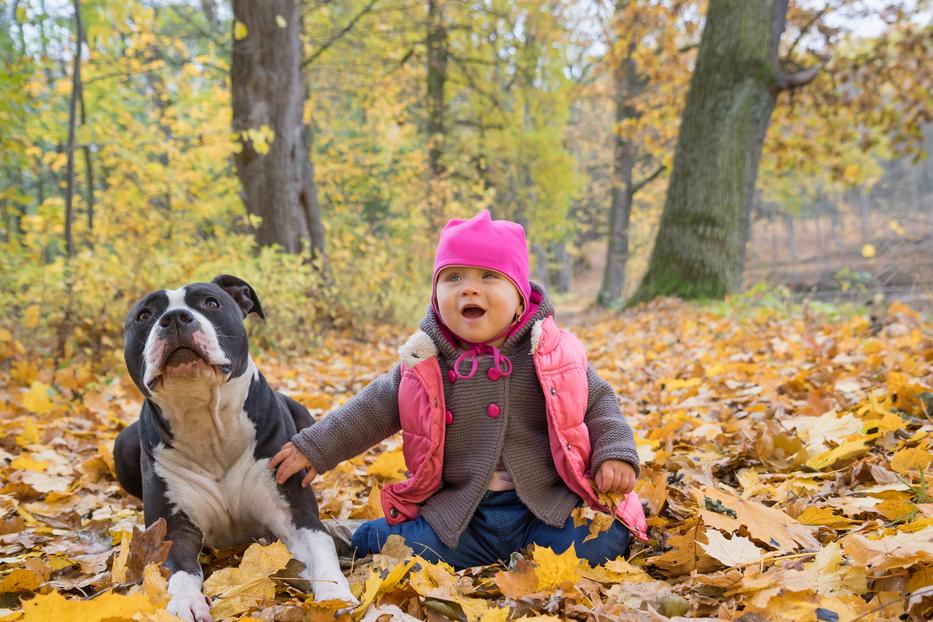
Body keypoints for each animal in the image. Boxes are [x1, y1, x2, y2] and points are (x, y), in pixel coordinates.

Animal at [113, 276, 354, 620]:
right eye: (144, 315)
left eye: (211, 303)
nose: (175, 318)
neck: (205, 422)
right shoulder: (173, 530)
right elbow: (177, 570)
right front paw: (185, 601)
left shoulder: (295, 515)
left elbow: (322, 551)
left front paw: (335, 596)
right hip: (123, 445)